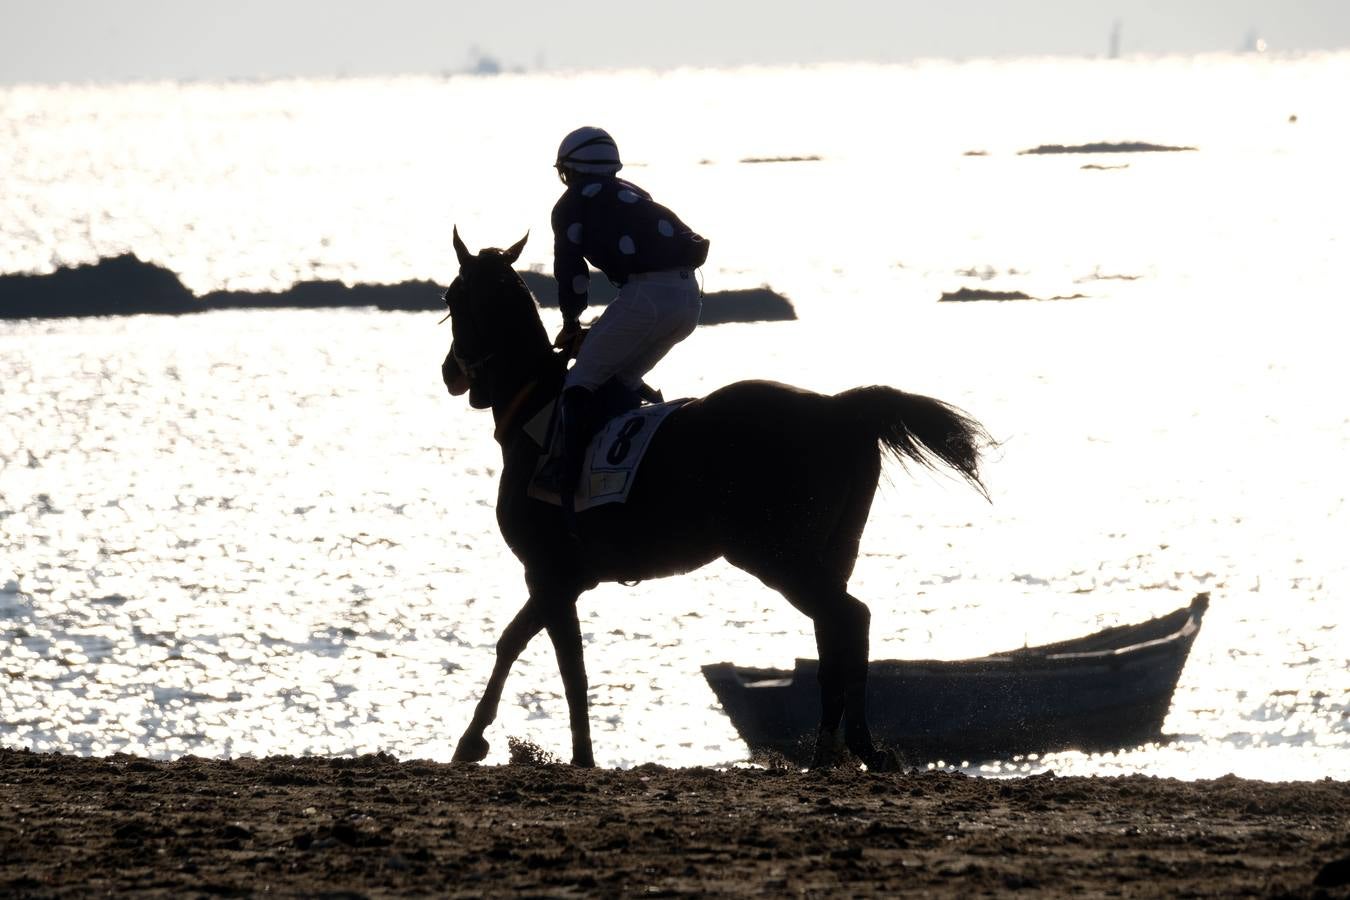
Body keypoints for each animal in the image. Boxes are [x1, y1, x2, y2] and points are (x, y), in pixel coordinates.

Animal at [442, 229, 993, 771]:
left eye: (451, 297)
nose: (450, 373)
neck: (535, 414)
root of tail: (839, 408)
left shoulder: (549, 572)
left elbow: (558, 661)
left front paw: (552, 752)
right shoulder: (566, 579)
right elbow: (522, 644)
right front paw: (485, 741)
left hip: (774, 552)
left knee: (848, 618)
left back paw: (853, 746)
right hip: (830, 549)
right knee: (834, 630)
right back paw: (831, 751)